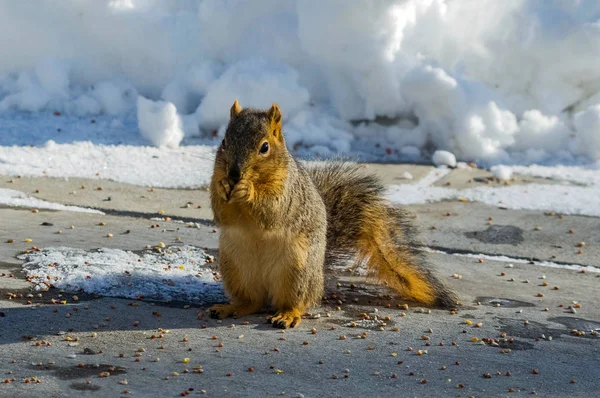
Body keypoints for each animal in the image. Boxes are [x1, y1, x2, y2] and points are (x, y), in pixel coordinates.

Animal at [209, 99, 458, 326]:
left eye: (264, 147)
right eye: (223, 141)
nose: (234, 174)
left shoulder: (288, 193)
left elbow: (273, 210)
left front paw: (247, 190)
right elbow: (222, 213)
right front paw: (222, 187)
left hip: (297, 272)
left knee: (296, 302)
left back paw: (287, 315)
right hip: (235, 270)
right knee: (252, 302)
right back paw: (230, 308)